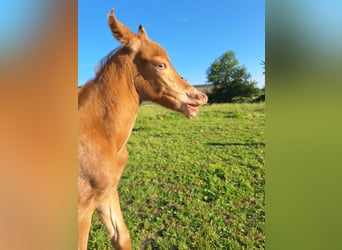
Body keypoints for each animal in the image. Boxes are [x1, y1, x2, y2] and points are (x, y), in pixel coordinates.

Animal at [79, 8, 207, 249]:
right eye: (160, 64)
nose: (200, 97)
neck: (101, 133)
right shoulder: (81, 208)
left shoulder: (107, 193)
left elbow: (121, 237)